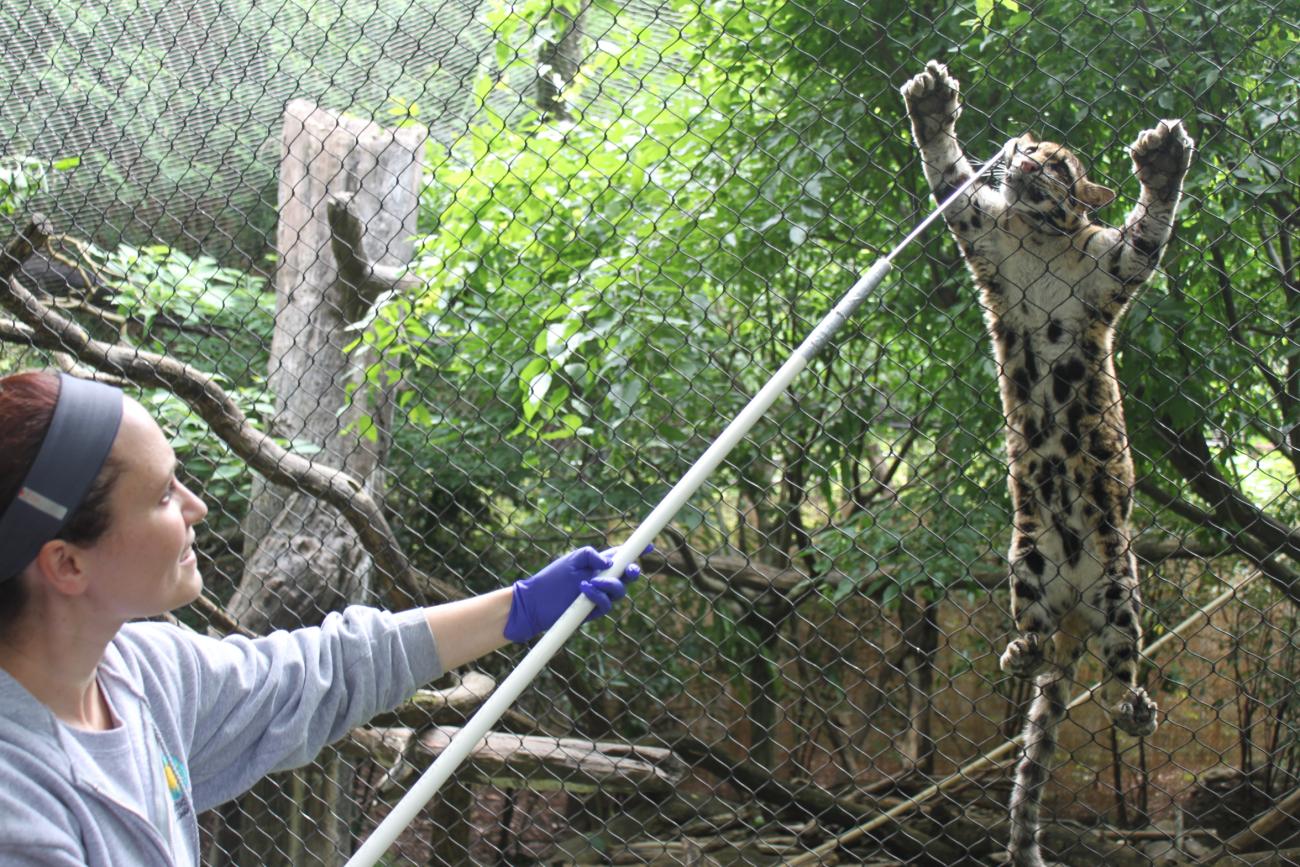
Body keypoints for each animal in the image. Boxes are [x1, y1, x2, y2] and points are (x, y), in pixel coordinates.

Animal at [904, 62, 1190, 867]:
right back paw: (1021, 652)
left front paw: (1163, 163)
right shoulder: (980, 229)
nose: (1027, 159)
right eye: (1029, 148)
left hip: (1121, 588)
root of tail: (1068, 617)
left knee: (1122, 665)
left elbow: (1150, 227)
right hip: (1024, 561)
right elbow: (948, 175)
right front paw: (931, 106)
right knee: (1032, 645)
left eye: (1058, 163)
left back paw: (1132, 705)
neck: (1037, 237)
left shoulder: (1115, 266)